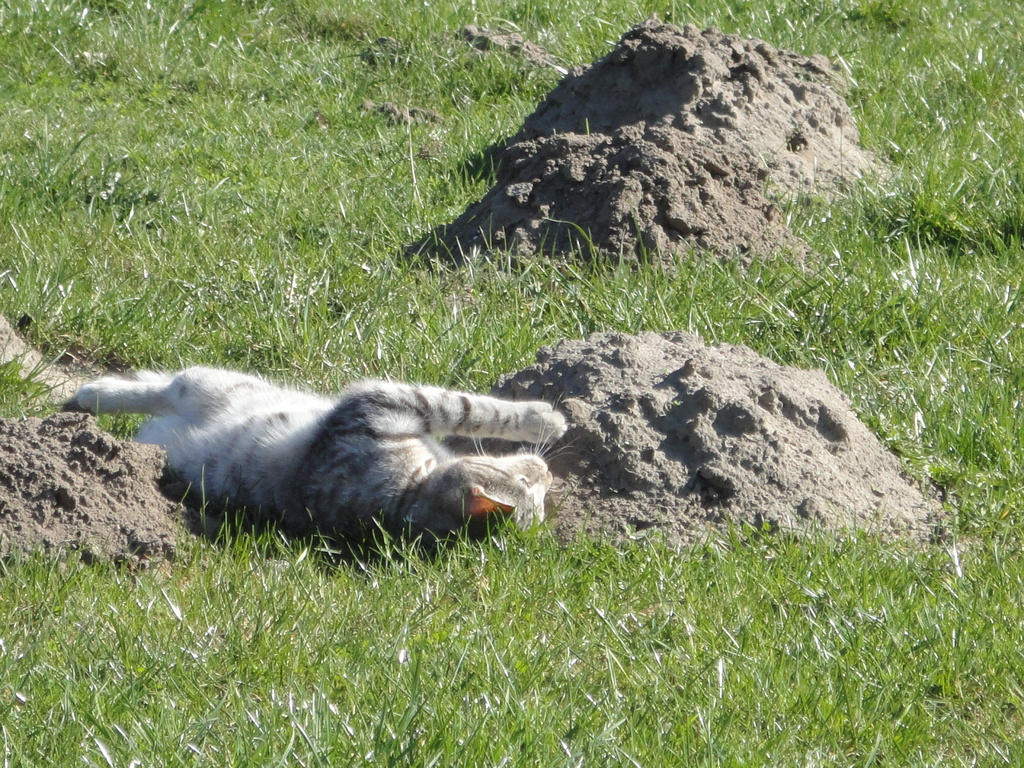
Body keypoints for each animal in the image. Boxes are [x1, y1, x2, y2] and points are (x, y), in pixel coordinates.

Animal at [68, 368, 569, 544]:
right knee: (164, 383)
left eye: (540, 498)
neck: (408, 497)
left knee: (167, 387)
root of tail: (153, 442)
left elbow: (468, 410)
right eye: (527, 485)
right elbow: (471, 408)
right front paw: (546, 418)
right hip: (217, 384)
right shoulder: (386, 402)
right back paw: (88, 395)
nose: (547, 472)